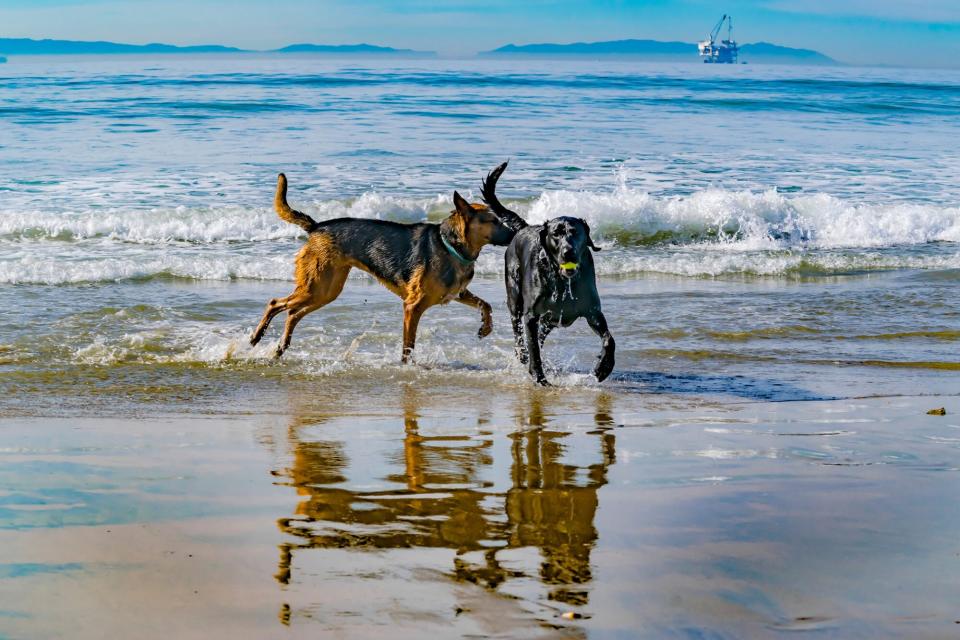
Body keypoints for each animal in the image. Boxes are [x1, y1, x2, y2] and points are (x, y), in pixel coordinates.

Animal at [480, 161, 616, 384]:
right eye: (556, 234)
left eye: (575, 232)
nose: (568, 252)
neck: (562, 281)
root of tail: (523, 228)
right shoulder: (531, 316)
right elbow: (533, 348)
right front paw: (539, 376)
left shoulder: (593, 311)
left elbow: (608, 339)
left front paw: (603, 367)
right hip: (515, 297)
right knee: (518, 330)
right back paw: (522, 354)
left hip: (550, 320)